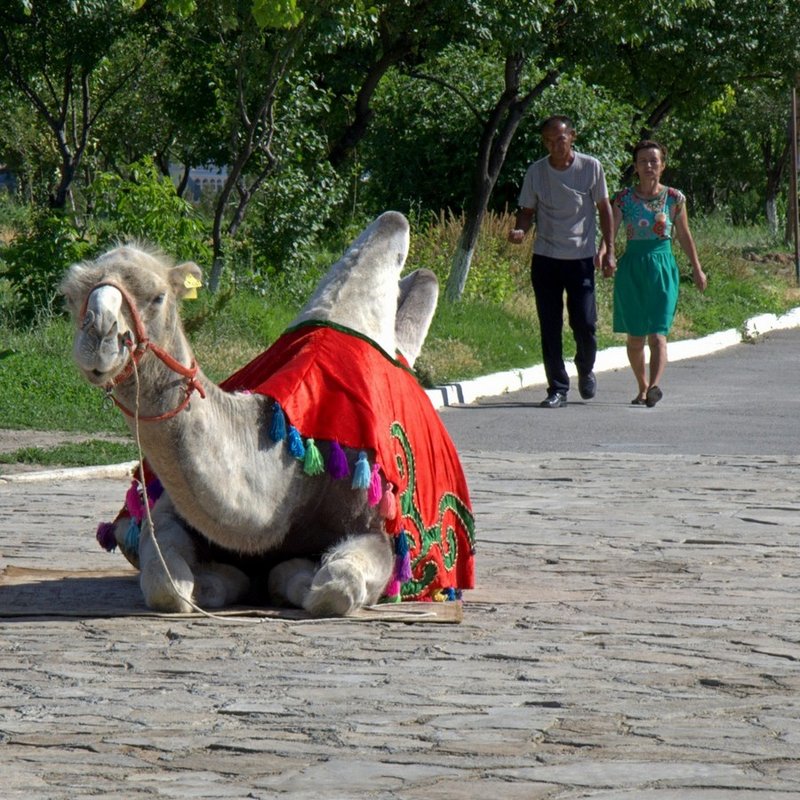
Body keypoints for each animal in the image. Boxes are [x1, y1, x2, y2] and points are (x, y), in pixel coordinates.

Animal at [64, 209, 476, 616]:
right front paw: (220, 579)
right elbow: (165, 581)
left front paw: (286, 575)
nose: (100, 335)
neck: (292, 470)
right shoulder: (165, 512)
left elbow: (335, 586)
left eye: (157, 296)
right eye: (71, 295)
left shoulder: (381, 528)